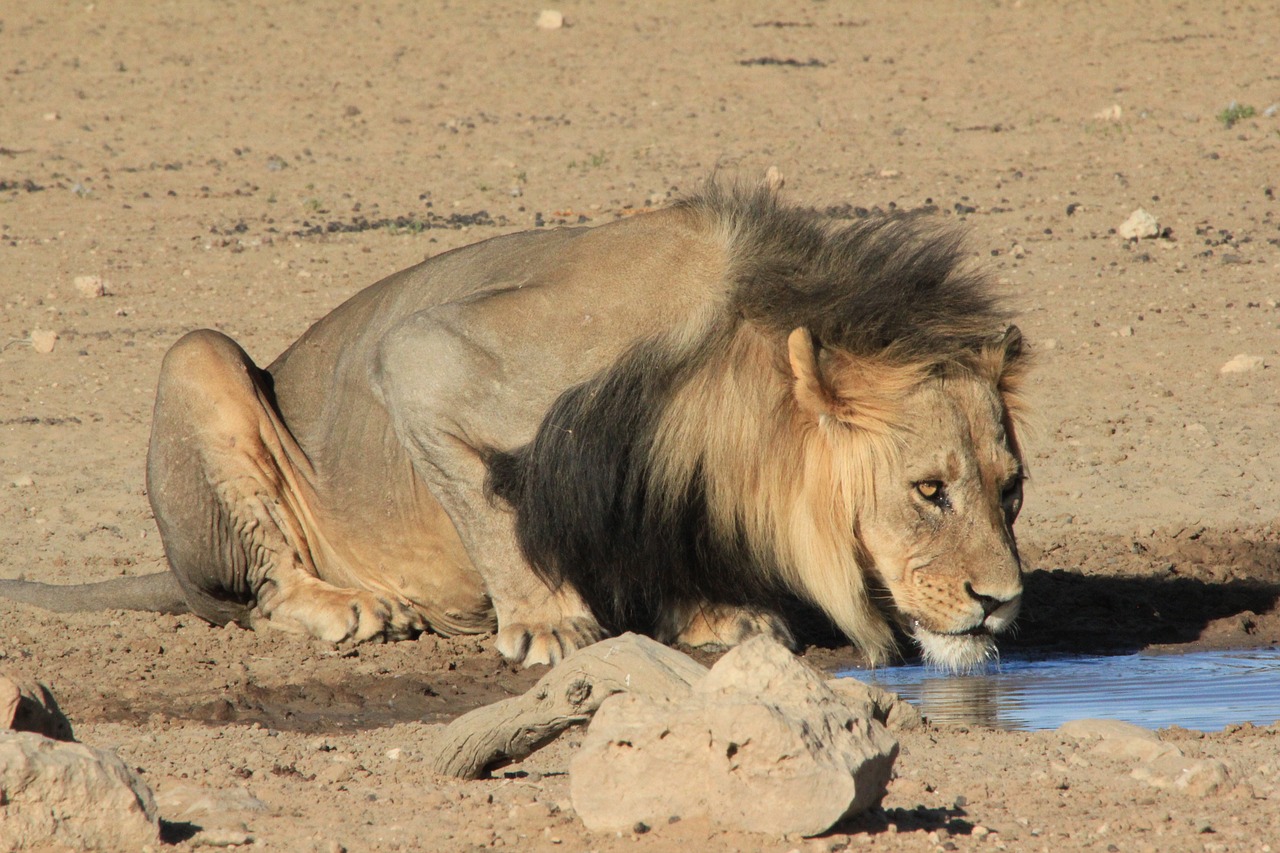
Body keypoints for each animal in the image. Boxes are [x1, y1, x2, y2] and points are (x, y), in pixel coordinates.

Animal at [0, 184, 1029, 671]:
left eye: (1011, 491)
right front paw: (547, 623)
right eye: (929, 490)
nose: (1003, 601)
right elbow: (495, 509)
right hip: (199, 358)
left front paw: (713, 613)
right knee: (258, 588)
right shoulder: (426, 358)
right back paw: (349, 605)